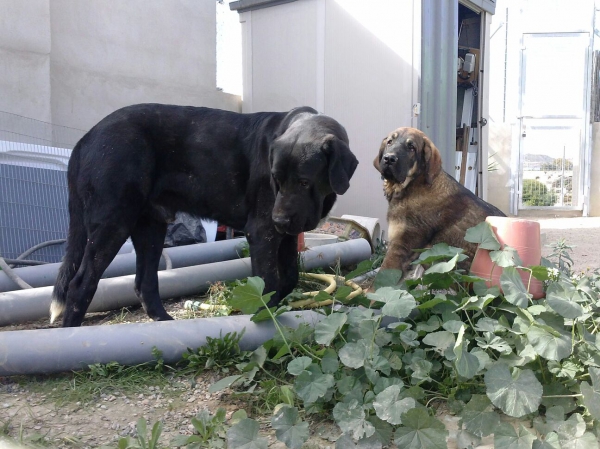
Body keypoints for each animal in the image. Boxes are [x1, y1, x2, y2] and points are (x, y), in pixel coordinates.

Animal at [51, 103, 356, 326]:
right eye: (276, 180)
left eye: (304, 182)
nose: (279, 220)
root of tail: (86, 138)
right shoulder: (263, 232)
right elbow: (268, 282)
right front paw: (263, 318)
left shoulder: (288, 235)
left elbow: (289, 277)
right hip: (113, 222)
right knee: (80, 284)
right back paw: (70, 336)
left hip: (150, 226)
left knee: (144, 283)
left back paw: (165, 323)